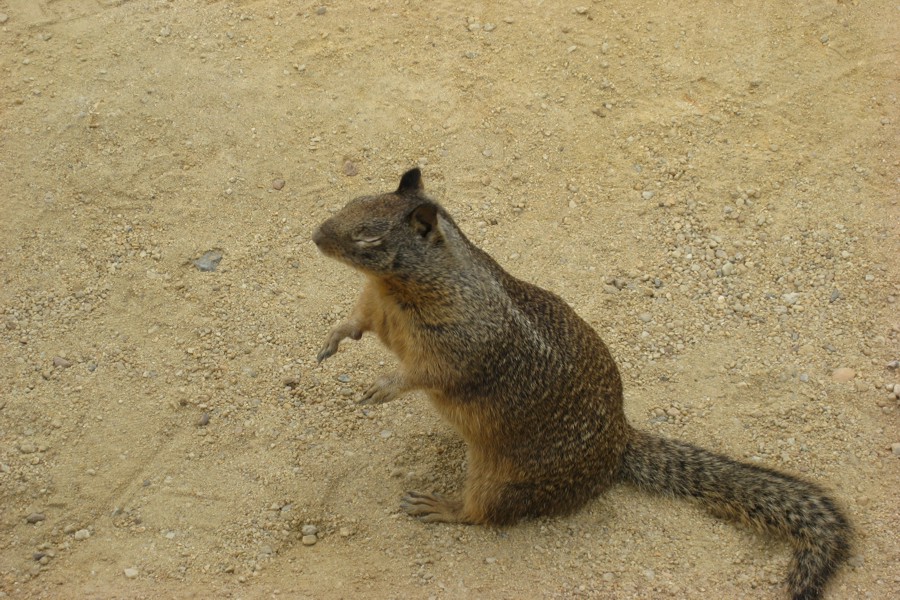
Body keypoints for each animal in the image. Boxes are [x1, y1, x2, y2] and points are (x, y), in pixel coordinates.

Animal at [312, 169, 852, 600]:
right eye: (351, 200)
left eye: (368, 237)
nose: (315, 235)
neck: (400, 287)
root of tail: (619, 444)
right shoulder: (377, 308)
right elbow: (356, 322)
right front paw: (331, 342)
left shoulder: (455, 344)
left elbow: (424, 372)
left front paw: (382, 387)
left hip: (498, 476)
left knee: (482, 513)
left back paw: (439, 505)